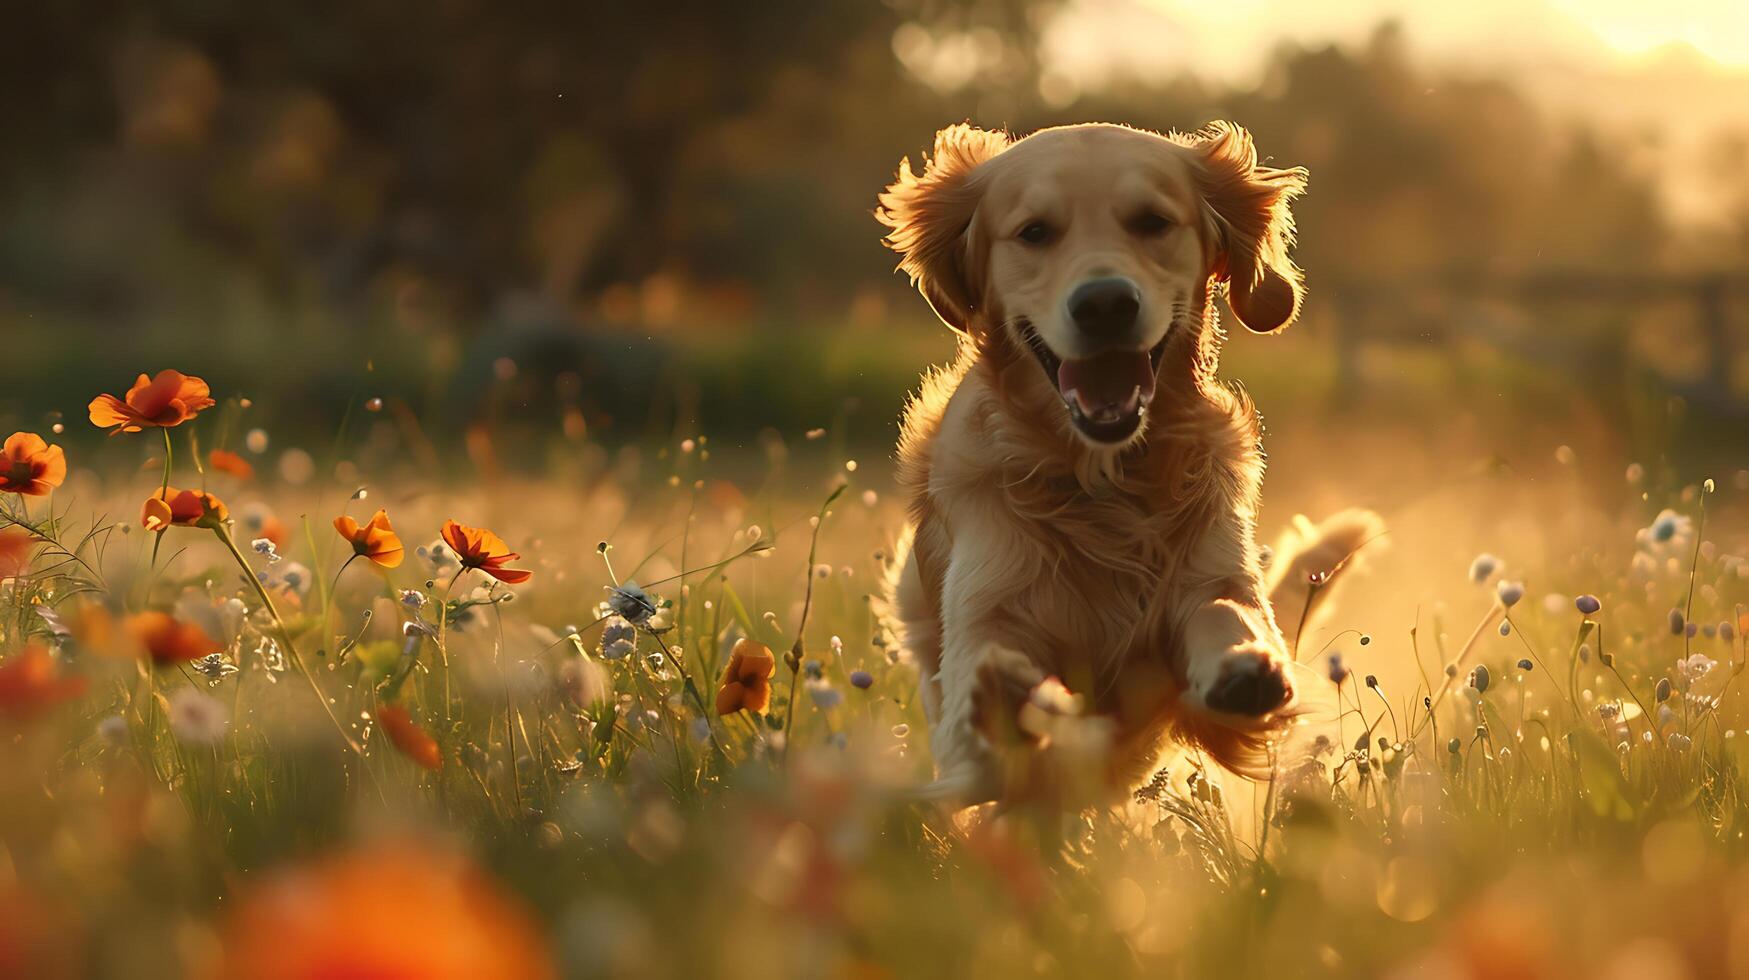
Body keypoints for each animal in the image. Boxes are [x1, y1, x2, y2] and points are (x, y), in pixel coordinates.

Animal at [874, 122, 1378, 805]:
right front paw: (1006, 692)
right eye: (1034, 232)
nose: (1106, 304)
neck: (1103, 481)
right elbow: (986, 662)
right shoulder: (986, 600)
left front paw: (1245, 664)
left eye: (1152, 222)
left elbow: (1228, 610)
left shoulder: (1213, 572)